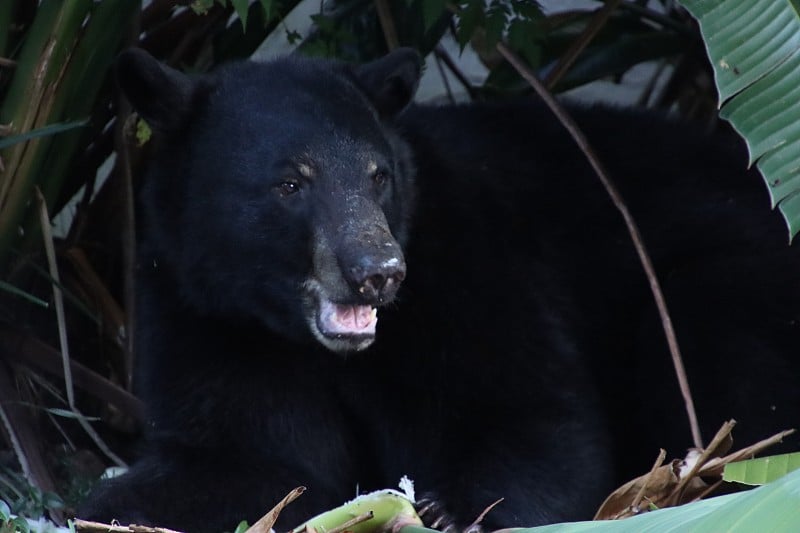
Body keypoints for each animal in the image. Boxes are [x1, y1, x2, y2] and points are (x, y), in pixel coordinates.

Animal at [81, 46, 800, 532]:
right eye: (290, 182)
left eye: (377, 175)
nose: (378, 269)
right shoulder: (206, 310)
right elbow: (245, 456)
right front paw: (120, 502)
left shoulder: (467, 270)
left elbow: (532, 417)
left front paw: (453, 510)